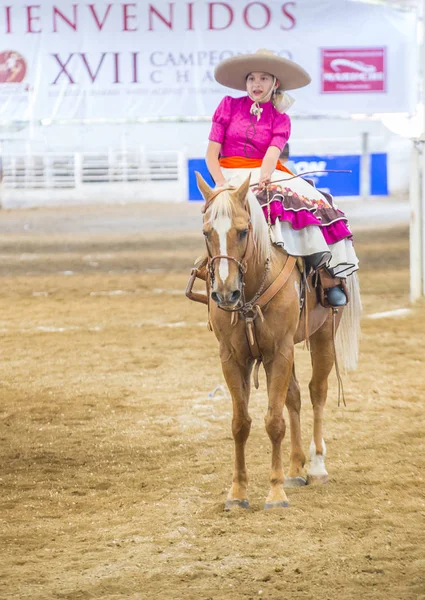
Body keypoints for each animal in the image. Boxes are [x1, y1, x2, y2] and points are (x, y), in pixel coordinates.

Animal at [190, 172, 360, 510]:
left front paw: (276, 493)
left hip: (323, 334)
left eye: (243, 231)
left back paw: (316, 467)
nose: (225, 293)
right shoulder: (232, 357)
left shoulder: (278, 352)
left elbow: (274, 422)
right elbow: (240, 423)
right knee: (294, 396)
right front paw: (237, 493)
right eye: (206, 232)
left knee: (317, 392)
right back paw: (295, 469)